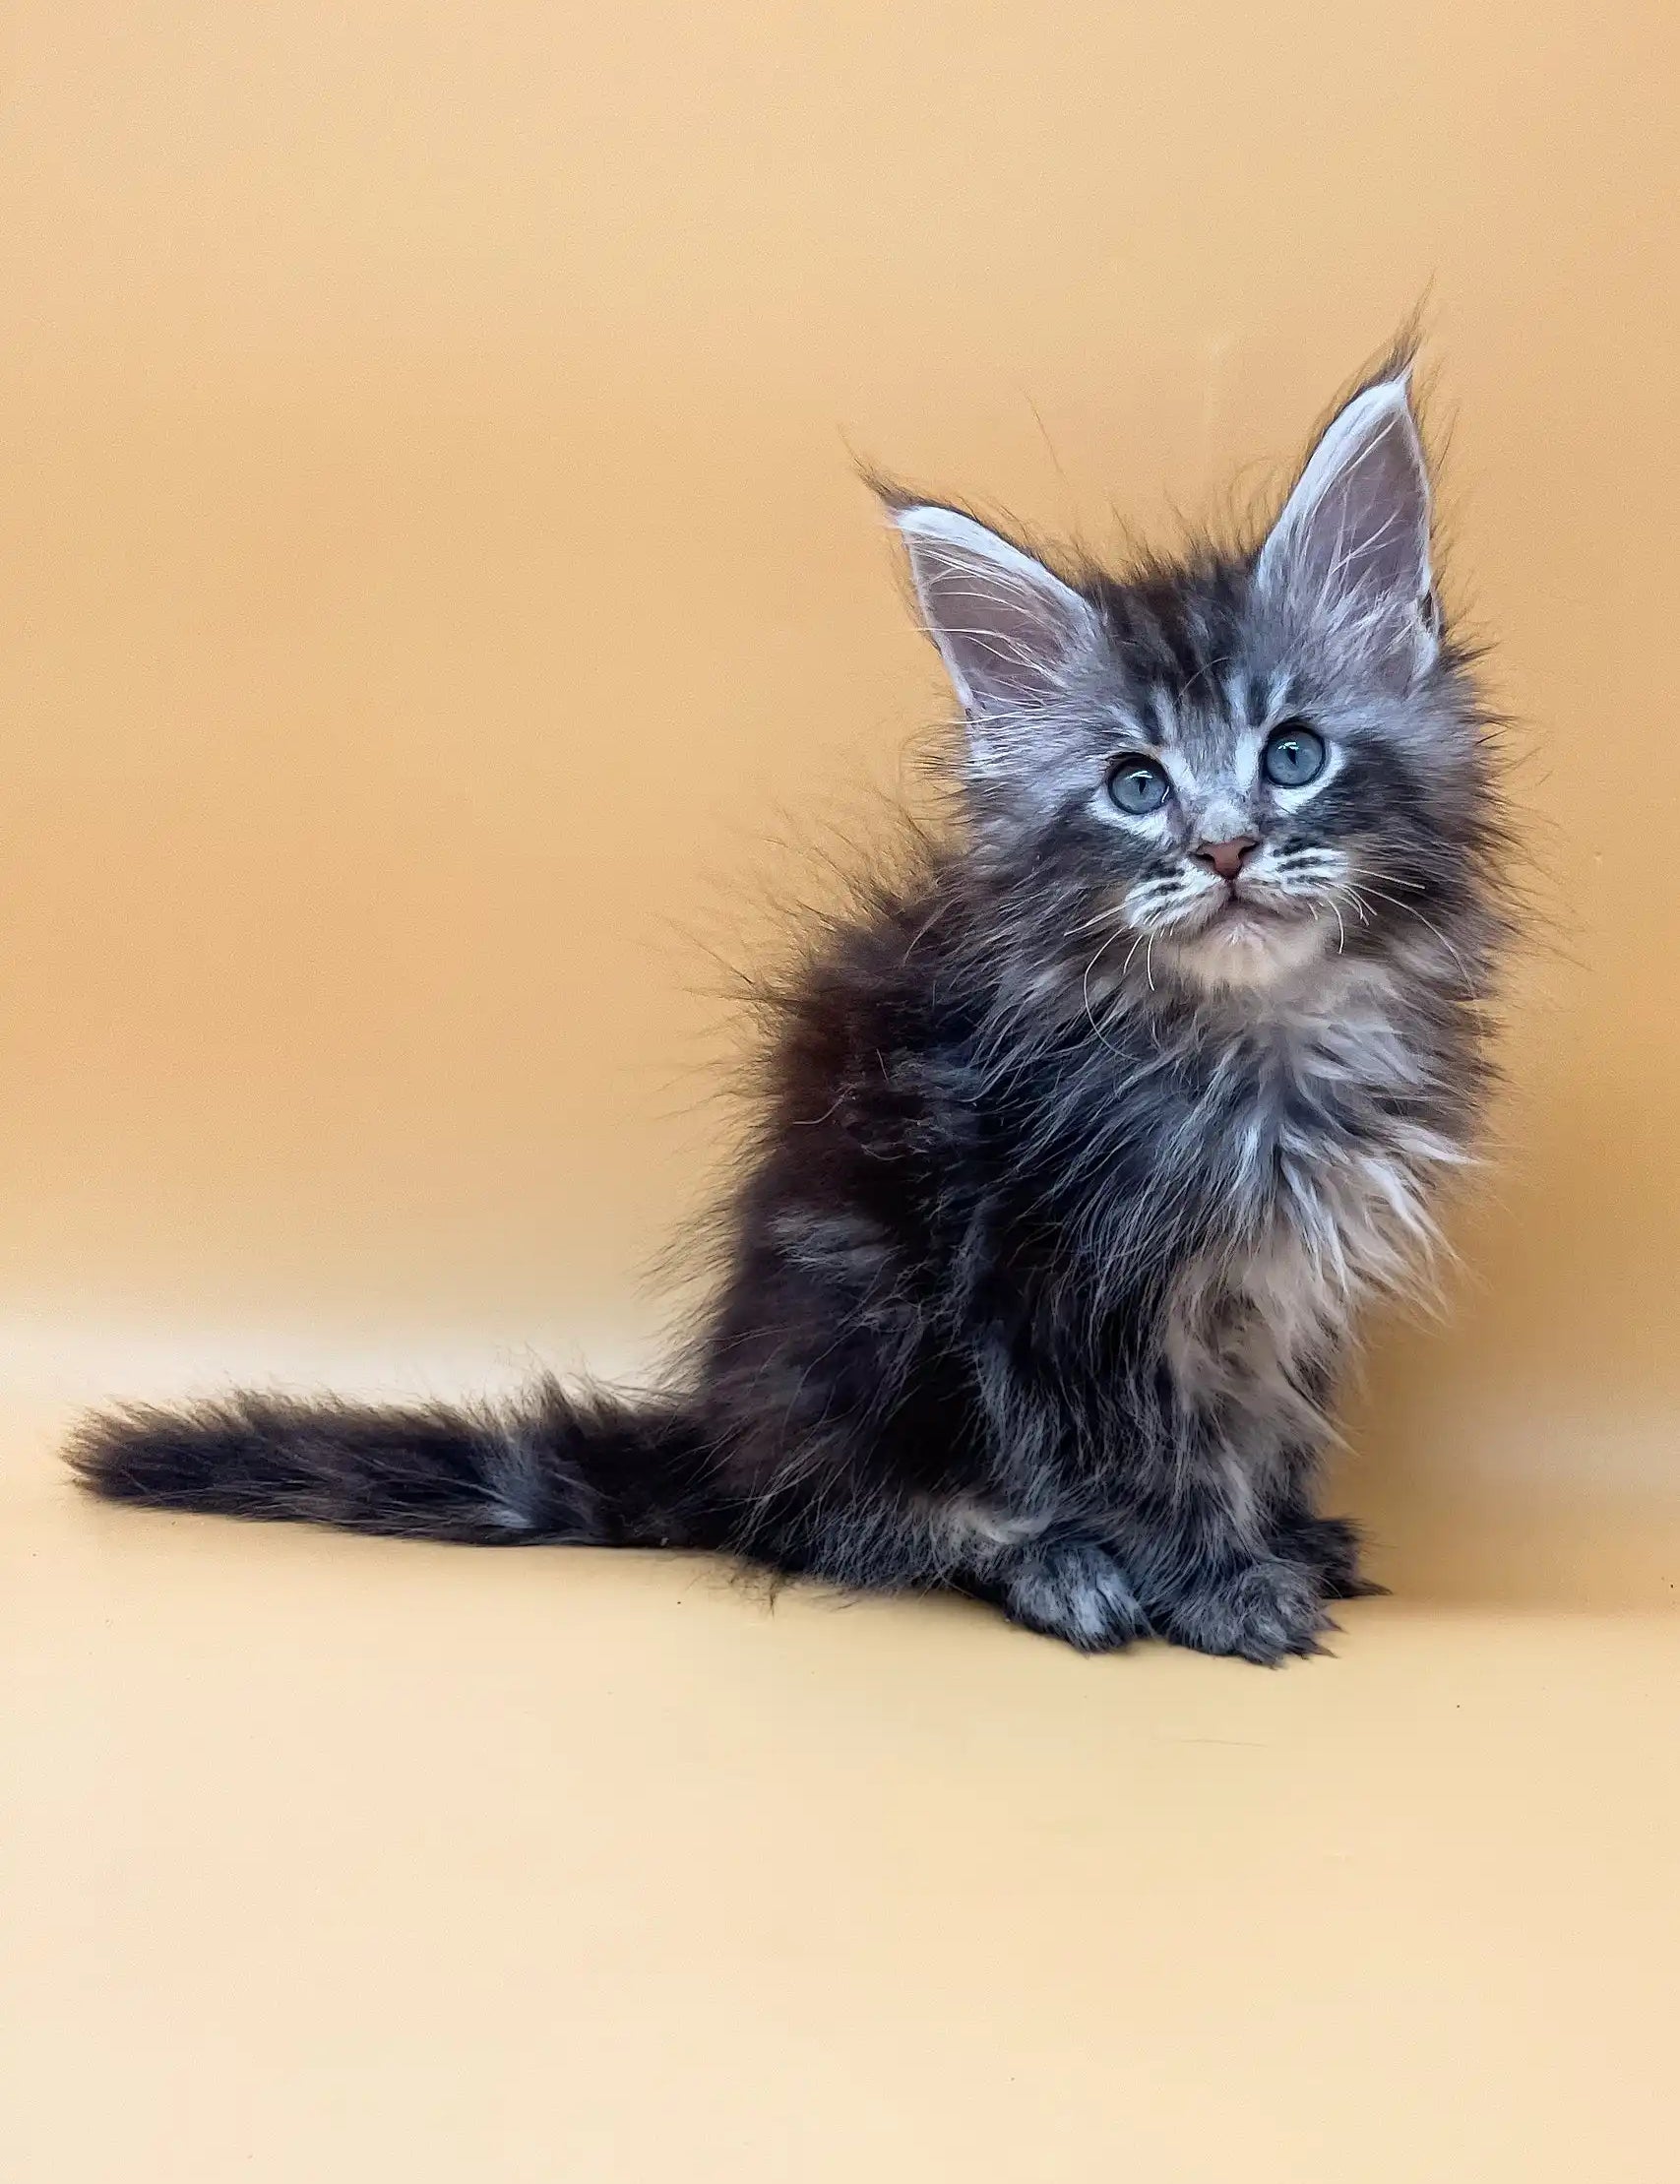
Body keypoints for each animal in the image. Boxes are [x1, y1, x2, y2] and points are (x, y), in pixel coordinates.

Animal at [65, 357, 1503, 1659]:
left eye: (1293, 754)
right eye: (1135, 785)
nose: (1223, 849)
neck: (1258, 1041)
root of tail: (723, 1414)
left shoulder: (1285, 1287)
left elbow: (1269, 1420)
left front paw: (1282, 1532)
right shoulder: (1067, 1278)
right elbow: (1153, 1455)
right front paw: (1217, 1583)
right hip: (875, 1317)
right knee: (818, 1513)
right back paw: (1046, 1565)